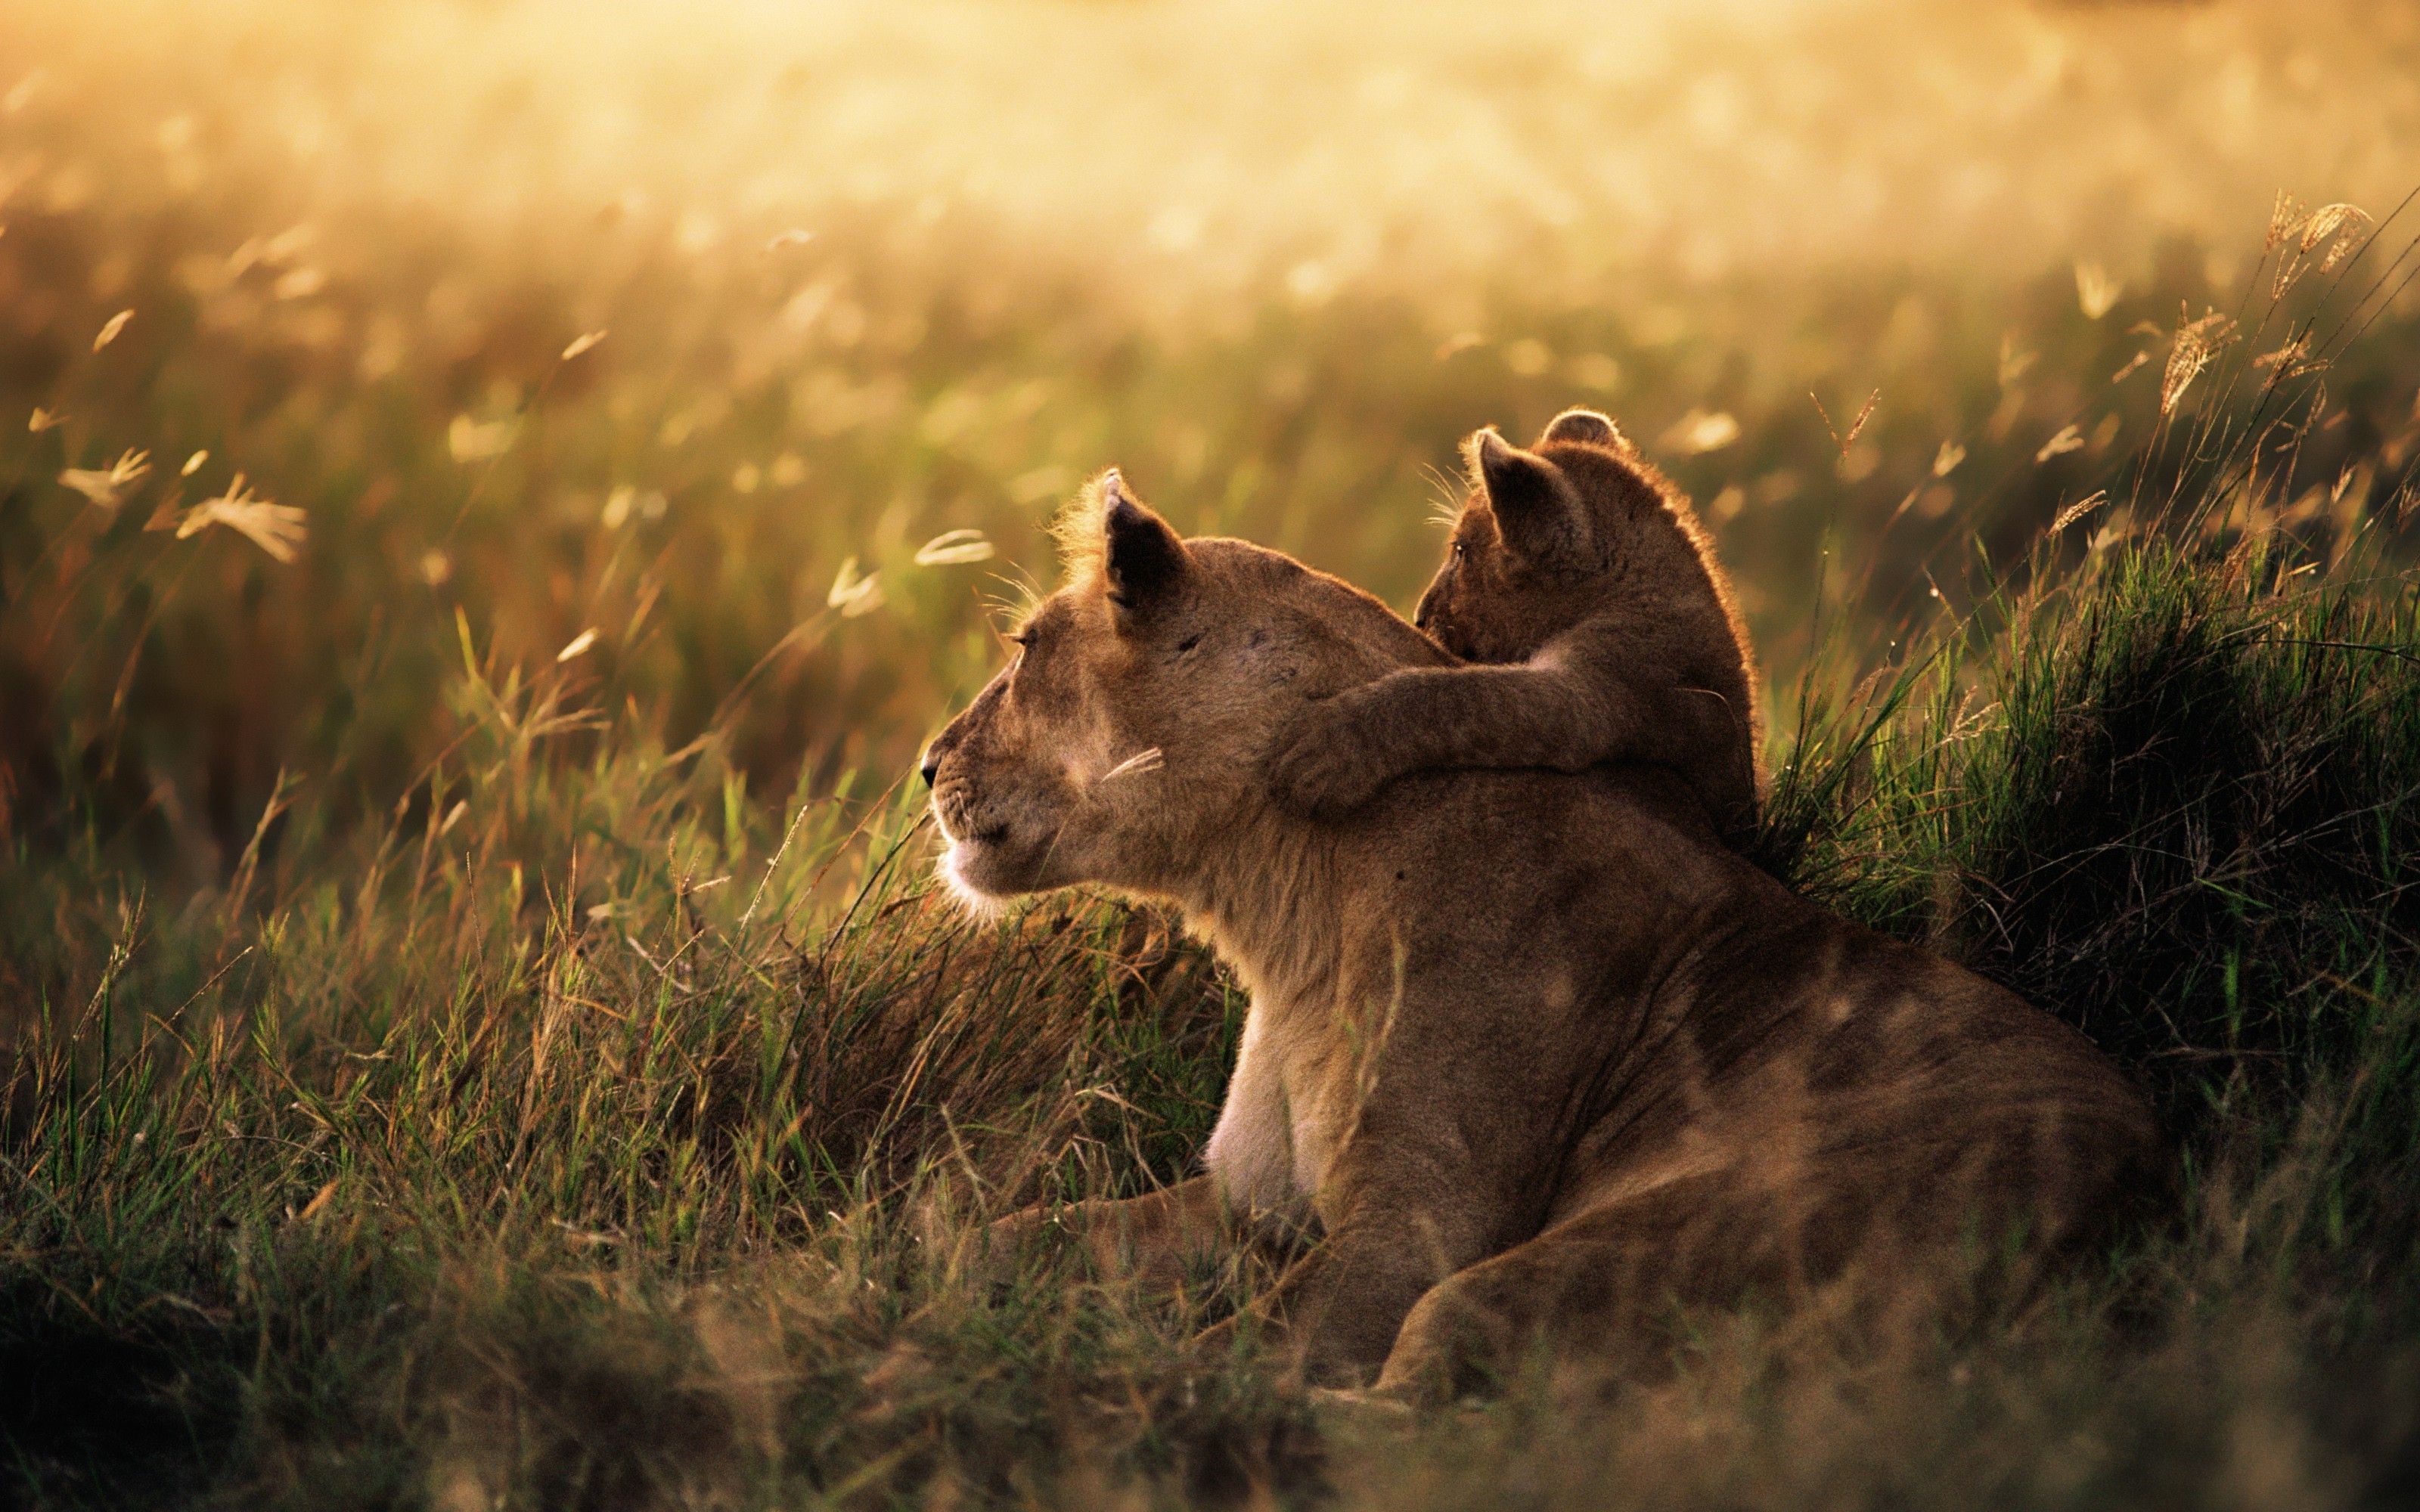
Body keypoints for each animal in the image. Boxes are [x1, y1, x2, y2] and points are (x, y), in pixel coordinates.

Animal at [920, 473, 2161, 1400]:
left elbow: (1237, 1356)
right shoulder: (1247, 1202)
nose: (927, 764)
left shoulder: (1417, 1227)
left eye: (1025, 647)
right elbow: (1007, 1233)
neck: (1283, 907)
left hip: (1609, 1252)